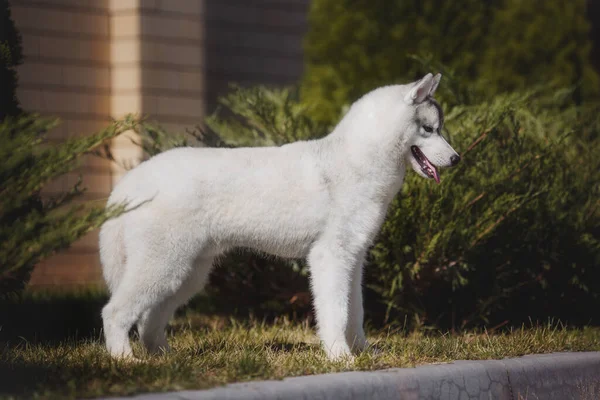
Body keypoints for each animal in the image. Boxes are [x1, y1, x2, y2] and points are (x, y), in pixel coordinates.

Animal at [101, 72, 462, 360]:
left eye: (438, 128)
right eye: (429, 129)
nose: (457, 159)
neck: (355, 161)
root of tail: (132, 181)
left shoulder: (355, 258)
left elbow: (355, 312)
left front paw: (362, 352)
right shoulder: (330, 256)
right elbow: (336, 312)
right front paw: (340, 356)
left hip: (187, 272)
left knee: (149, 320)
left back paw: (164, 356)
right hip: (163, 264)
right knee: (114, 312)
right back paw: (125, 359)